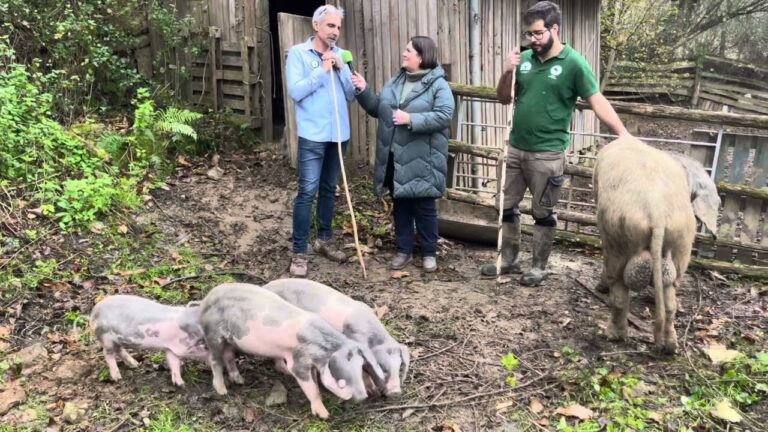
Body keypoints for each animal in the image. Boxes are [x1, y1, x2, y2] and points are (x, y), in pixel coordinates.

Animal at [195, 282, 380, 416]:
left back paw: (239, 380)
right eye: (342, 381)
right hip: (213, 334)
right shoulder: (298, 360)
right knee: (215, 360)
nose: (364, 396)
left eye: (360, 369)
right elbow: (311, 388)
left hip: (230, 340)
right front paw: (324, 415)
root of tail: (206, 299)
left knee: (229, 356)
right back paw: (222, 391)